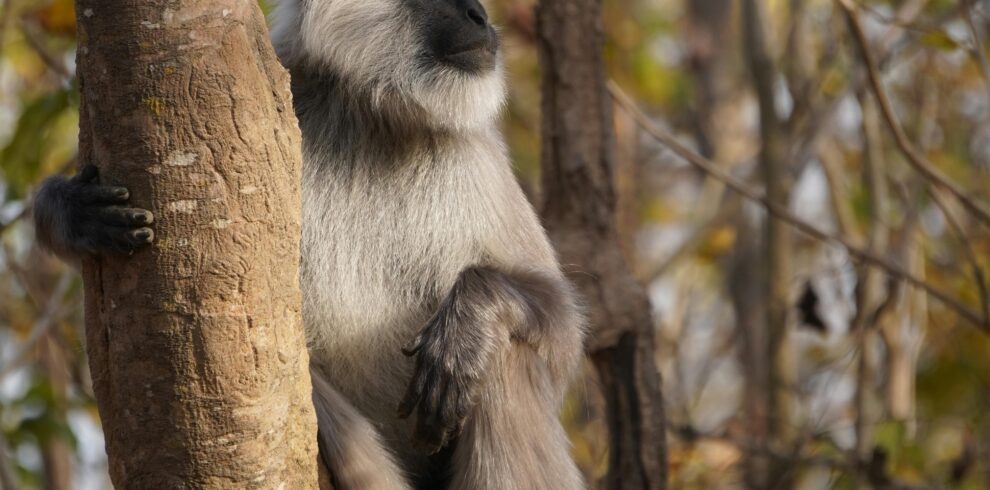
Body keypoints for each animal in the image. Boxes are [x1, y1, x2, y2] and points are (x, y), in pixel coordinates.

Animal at [32, 0, 587, 488]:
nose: (478, 14)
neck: (369, 116)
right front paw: (69, 211)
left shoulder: (474, 148)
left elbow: (562, 334)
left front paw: (470, 319)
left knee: (506, 358)